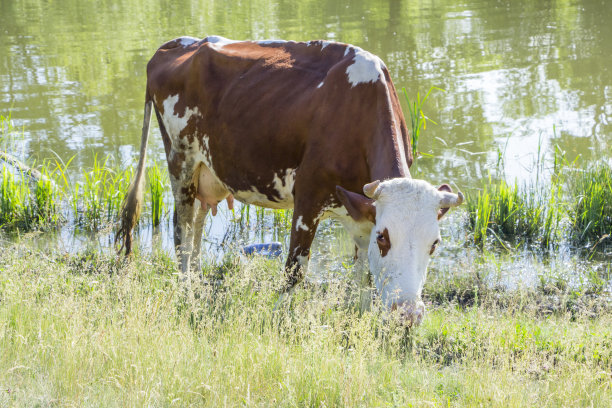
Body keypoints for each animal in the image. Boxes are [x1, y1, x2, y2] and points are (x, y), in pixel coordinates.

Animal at [116, 36, 464, 326]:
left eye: (435, 243)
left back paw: (199, 284)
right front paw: (276, 321)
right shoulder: (308, 198)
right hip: (181, 162)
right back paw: (187, 292)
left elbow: (364, 273)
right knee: (181, 232)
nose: (409, 313)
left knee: (197, 228)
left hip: (208, 172)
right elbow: (294, 271)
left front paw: (359, 319)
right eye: (384, 238)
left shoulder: (361, 210)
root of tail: (178, 44)